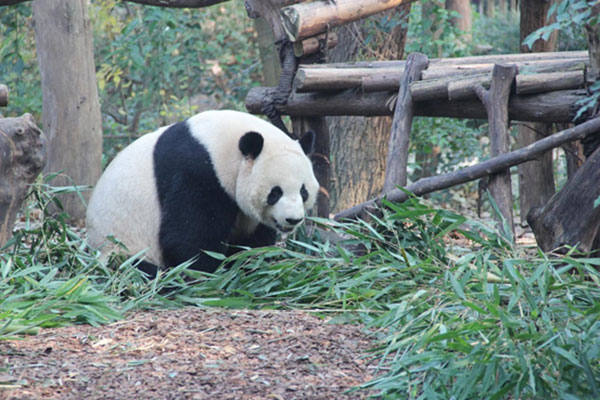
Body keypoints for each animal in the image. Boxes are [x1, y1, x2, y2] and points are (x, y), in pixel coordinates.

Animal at [85, 109, 318, 278]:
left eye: (303, 191)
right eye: (275, 192)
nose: (292, 219)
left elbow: (251, 239)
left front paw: (249, 265)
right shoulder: (196, 172)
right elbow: (188, 235)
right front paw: (207, 273)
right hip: (119, 246)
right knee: (135, 270)